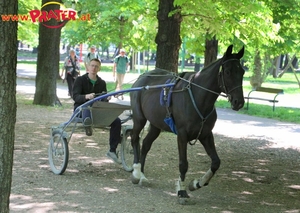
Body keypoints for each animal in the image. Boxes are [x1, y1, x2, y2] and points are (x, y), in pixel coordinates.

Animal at [128, 44, 244, 203]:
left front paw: (197, 183)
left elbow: (216, 162)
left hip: (156, 125)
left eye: (242, 72)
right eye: (227, 71)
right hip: (139, 118)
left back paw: (142, 174)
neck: (198, 97)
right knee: (135, 138)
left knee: (145, 144)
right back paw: (136, 172)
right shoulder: (182, 135)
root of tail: (141, 78)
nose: (239, 102)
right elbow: (183, 164)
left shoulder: (206, 134)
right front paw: (182, 190)